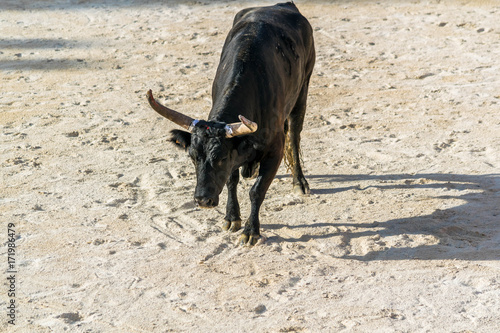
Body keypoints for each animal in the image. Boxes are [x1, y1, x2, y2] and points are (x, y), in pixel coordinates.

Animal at [146, 1, 314, 244]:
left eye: (221, 158)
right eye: (192, 157)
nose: (202, 200)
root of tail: (284, 5)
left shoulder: (275, 149)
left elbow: (256, 190)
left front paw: (251, 230)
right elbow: (231, 181)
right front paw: (231, 217)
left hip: (303, 90)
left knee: (294, 134)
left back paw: (299, 182)